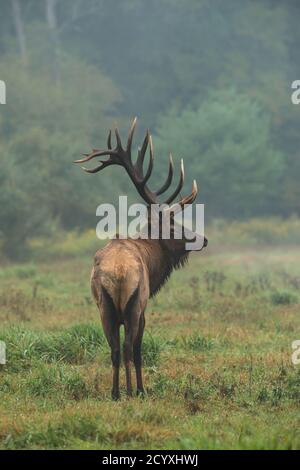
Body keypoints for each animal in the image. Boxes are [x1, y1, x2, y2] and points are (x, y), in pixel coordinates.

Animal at [74, 118, 207, 400]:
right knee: (127, 347)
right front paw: (141, 388)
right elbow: (138, 350)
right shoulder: (144, 306)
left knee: (114, 349)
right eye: (173, 225)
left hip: (104, 307)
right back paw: (132, 391)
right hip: (133, 305)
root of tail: (118, 272)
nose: (203, 238)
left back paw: (115, 393)